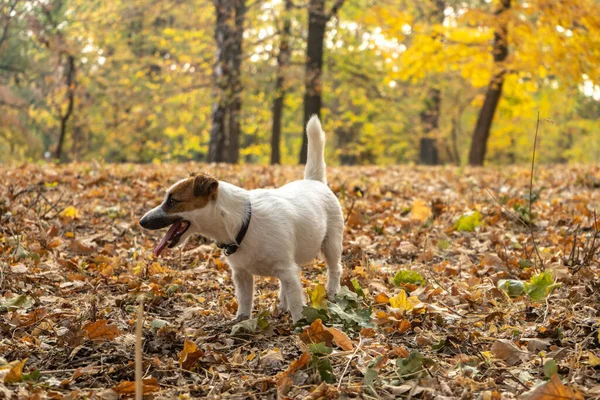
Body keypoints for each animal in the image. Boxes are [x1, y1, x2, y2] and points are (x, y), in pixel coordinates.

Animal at [139, 115, 342, 322]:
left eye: (172, 201)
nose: (142, 221)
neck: (244, 224)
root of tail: (314, 181)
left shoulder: (286, 269)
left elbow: (296, 302)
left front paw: (300, 324)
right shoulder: (242, 274)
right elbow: (245, 301)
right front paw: (241, 322)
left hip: (331, 244)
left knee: (335, 269)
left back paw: (331, 293)